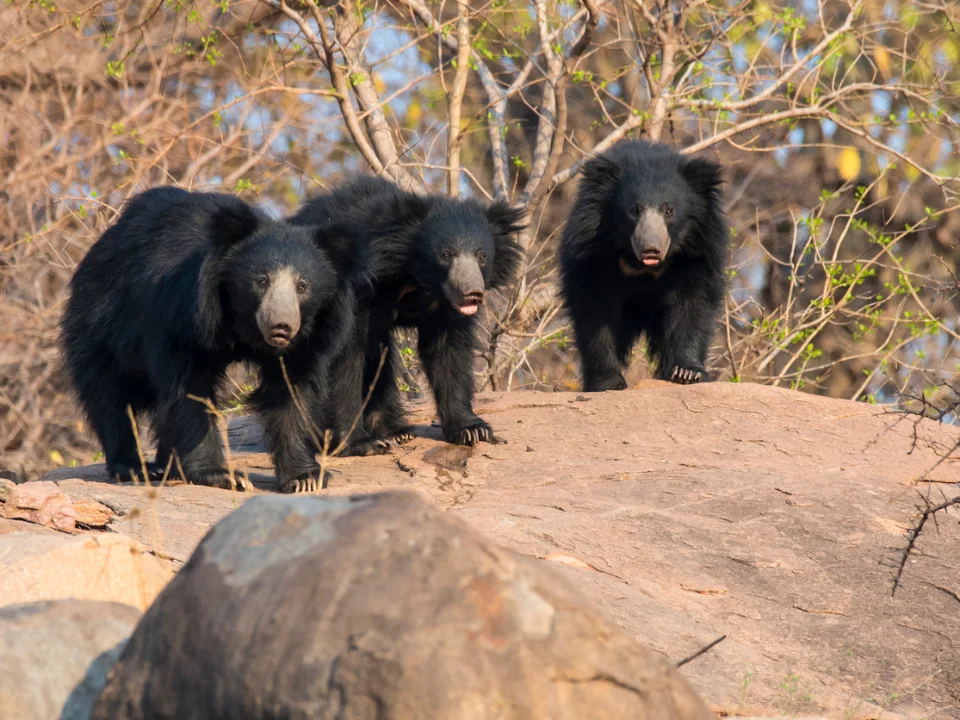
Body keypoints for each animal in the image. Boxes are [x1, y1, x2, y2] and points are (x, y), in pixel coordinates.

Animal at [60, 187, 361, 493]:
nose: (282, 327)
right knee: (110, 394)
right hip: (101, 322)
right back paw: (135, 467)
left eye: (302, 286)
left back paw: (168, 466)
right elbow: (189, 389)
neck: (241, 322)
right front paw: (223, 475)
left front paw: (305, 478)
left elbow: (290, 393)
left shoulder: (306, 343)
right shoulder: (182, 316)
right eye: (261, 281)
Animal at [289, 175, 525, 454]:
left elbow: (449, 353)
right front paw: (359, 443)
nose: (472, 293)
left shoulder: (445, 308)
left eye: (481, 256)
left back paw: (396, 431)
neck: (415, 276)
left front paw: (471, 429)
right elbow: (346, 356)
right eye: (445, 255)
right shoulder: (360, 291)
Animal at [559, 140, 728, 392]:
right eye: (634, 210)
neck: (640, 265)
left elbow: (692, 304)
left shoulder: (696, 255)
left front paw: (686, 372)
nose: (651, 249)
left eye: (669, 210)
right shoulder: (591, 256)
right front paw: (607, 381)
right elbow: (595, 311)